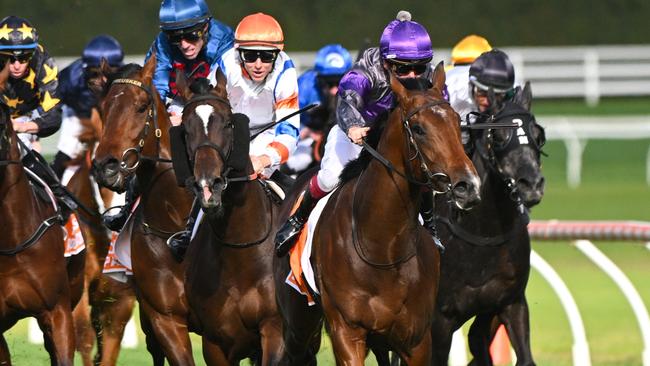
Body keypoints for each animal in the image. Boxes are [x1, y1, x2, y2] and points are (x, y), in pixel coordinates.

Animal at [270, 63, 478, 366]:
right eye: (418, 128)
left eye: (456, 121)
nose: (468, 185)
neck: (382, 248)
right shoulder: (347, 333)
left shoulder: (416, 340)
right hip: (298, 321)